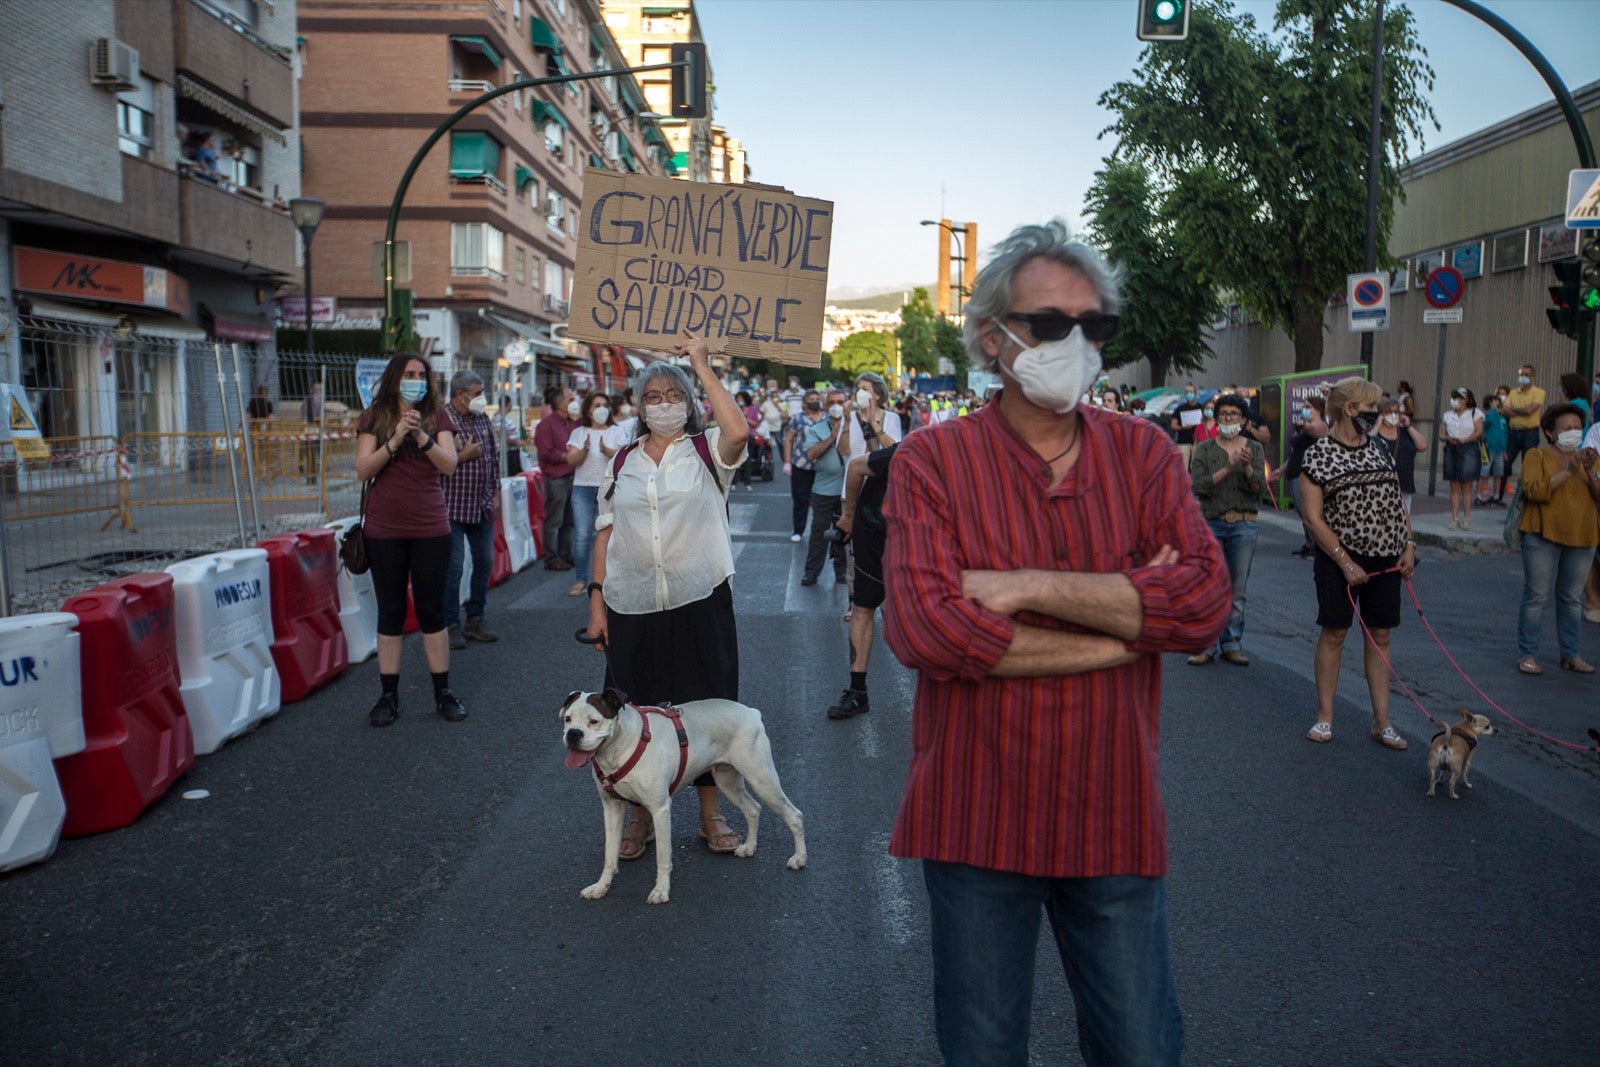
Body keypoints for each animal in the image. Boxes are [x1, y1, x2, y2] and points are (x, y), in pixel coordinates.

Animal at [566, 687, 812, 908]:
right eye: (567, 719)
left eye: (594, 721)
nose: (573, 734)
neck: (621, 745)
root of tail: (751, 712)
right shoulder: (612, 808)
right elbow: (609, 855)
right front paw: (600, 888)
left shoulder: (660, 809)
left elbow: (663, 857)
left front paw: (661, 891)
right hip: (727, 781)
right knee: (753, 809)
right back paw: (749, 847)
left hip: (762, 779)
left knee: (794, 815)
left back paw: (799, 859)